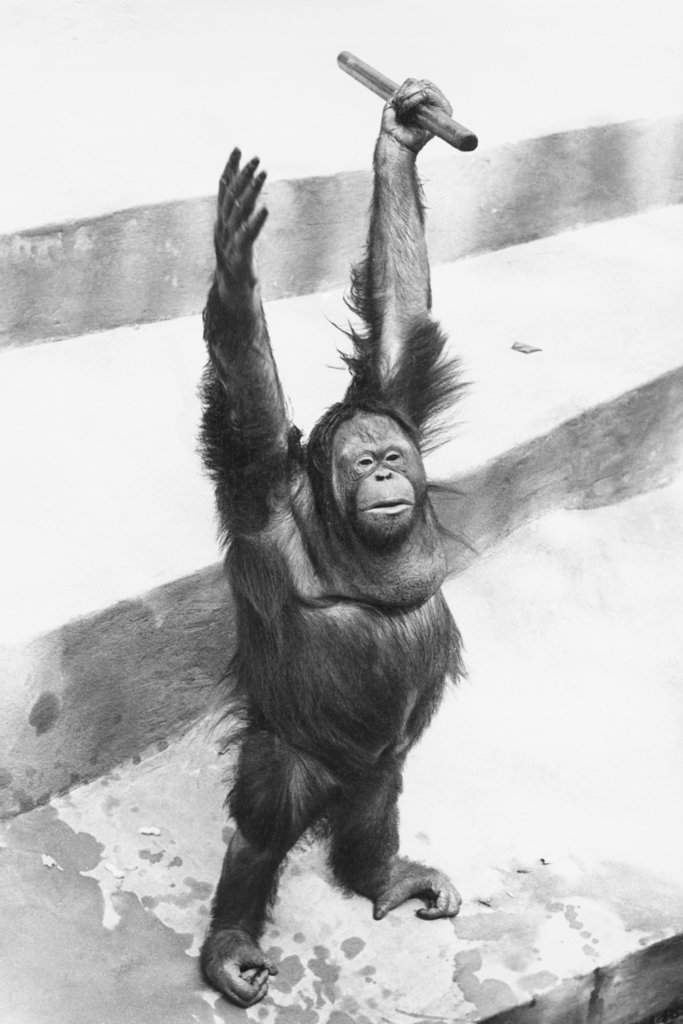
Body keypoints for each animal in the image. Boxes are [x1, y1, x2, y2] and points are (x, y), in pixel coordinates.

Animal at [198, 78, 465, 1008]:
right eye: (363, 465)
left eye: (392, 456)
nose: (386, 477)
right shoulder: (258, 494)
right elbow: (248, 403)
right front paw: (235, 270)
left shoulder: (397, 394)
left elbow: (404, 315)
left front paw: (400, 135)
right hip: (291, 750)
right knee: (264, 821)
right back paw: (230, 945)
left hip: (376, 768)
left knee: (374, 803)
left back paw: (381, 874)